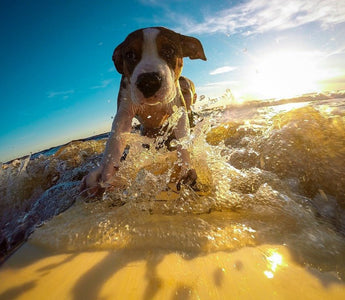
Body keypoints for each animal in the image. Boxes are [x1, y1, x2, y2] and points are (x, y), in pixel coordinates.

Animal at [79, 26, 206, 197]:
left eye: (169, 50)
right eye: (130, 55)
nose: (148, 81)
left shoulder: (178, 109)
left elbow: (183, 140)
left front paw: (185, 169)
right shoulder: (124, 111)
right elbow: (115, 143)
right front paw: (106, 177)